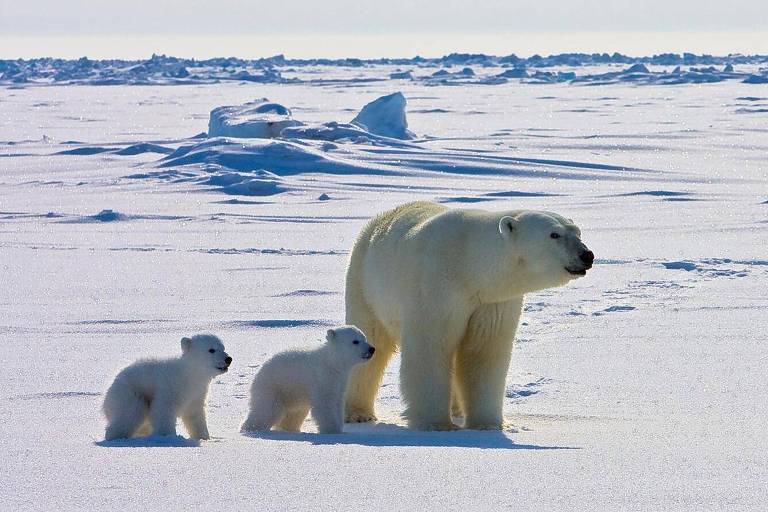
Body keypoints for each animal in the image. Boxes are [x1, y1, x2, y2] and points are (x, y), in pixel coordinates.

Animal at [344, 202, 592, 430]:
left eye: (577, 232)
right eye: (554, 234)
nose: (587, 255)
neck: (469, 264)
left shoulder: (492, 301)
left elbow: (483, 352)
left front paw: (488, 425)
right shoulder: (436, 288)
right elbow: (431, 348)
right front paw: (436, 424)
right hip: (365, 284)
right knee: (371, 340)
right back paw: (358, 413)